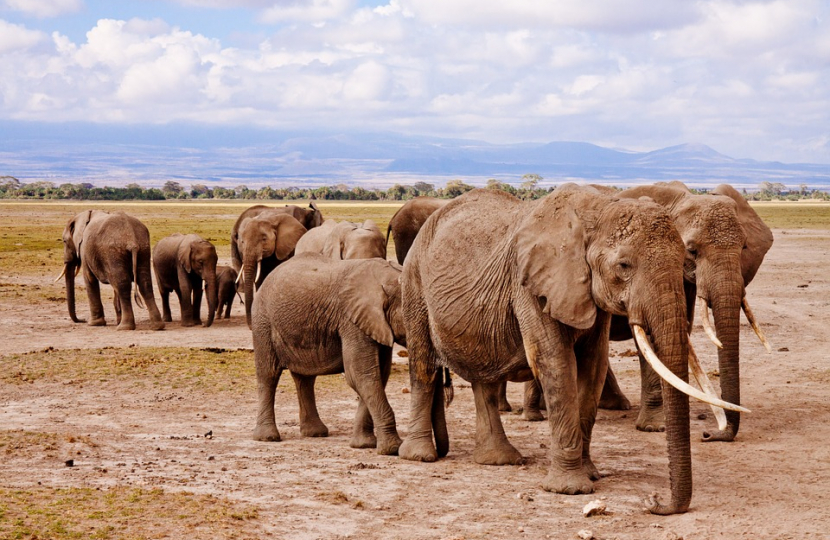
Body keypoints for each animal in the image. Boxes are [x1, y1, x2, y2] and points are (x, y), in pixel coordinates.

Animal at [251, 254, 406, 455]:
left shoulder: (376, 324)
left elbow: (377, 375)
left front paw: (363, 445)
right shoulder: (352, 321)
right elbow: (361, 375)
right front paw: (393, 449)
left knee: (305, 379)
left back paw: (315, 433)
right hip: (262, 321)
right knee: (268, 374)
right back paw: (267, 438)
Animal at [397, 185, 745, 515]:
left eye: (684, 259)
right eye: (623, 265)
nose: (655, 502)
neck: (598, 210)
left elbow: (593, 366)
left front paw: (590, 474)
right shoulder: (531, 286)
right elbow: (556, 363)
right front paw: (570, 489)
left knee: (484, 377)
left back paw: (498, 460)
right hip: (414, 284)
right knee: (424, 366)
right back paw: (420, 456)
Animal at [592, 181, 773, 441]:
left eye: (744, 247)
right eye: (692, 251)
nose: (709, 434)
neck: (682, 198)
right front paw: (656, 427)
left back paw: (616, 405)